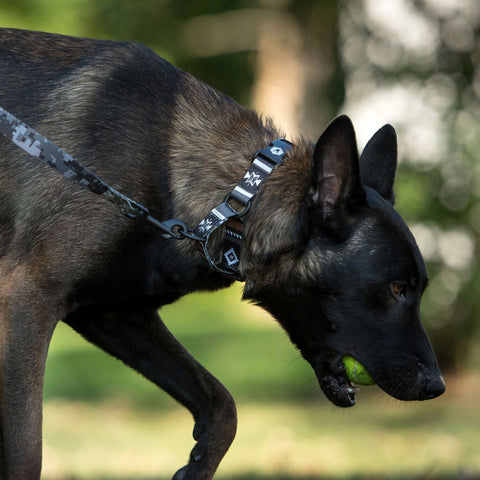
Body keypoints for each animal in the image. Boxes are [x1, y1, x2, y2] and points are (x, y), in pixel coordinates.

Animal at [0, 28, 446, 478]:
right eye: (397, 289)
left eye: (418, 289)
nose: (436, 386)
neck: (231, 204)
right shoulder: (27, 303)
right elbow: (24, 452)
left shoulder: (115, 315)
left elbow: (222, 404)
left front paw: (197, 466)